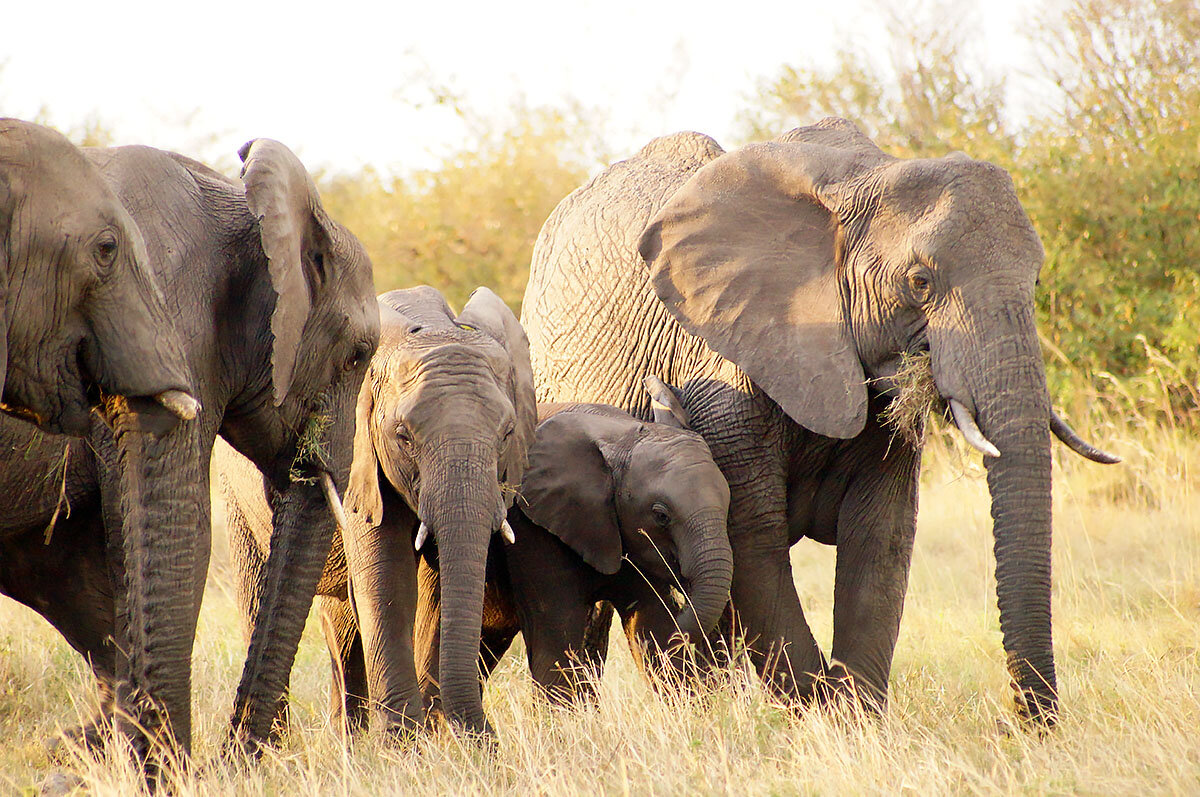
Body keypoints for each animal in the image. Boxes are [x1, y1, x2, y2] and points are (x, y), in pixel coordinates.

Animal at [224, 283, 540, 739]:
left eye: (508, 434)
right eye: (404, 436)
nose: (487, 739)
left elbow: (437, 589)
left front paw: (441, 736)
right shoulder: (357, 457)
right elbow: (387, 578)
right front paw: (403, 742)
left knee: (342, 627)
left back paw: (350, 739)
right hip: (237, 496)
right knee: (261, 590)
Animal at [520, 117, 1118, 720]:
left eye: (1036, 280)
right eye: (920, 282)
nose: (1023, 726)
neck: (860, 180)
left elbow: (880, 534)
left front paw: (855, 719)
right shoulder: (721, 368)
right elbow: (753, 537)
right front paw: (819, 715)